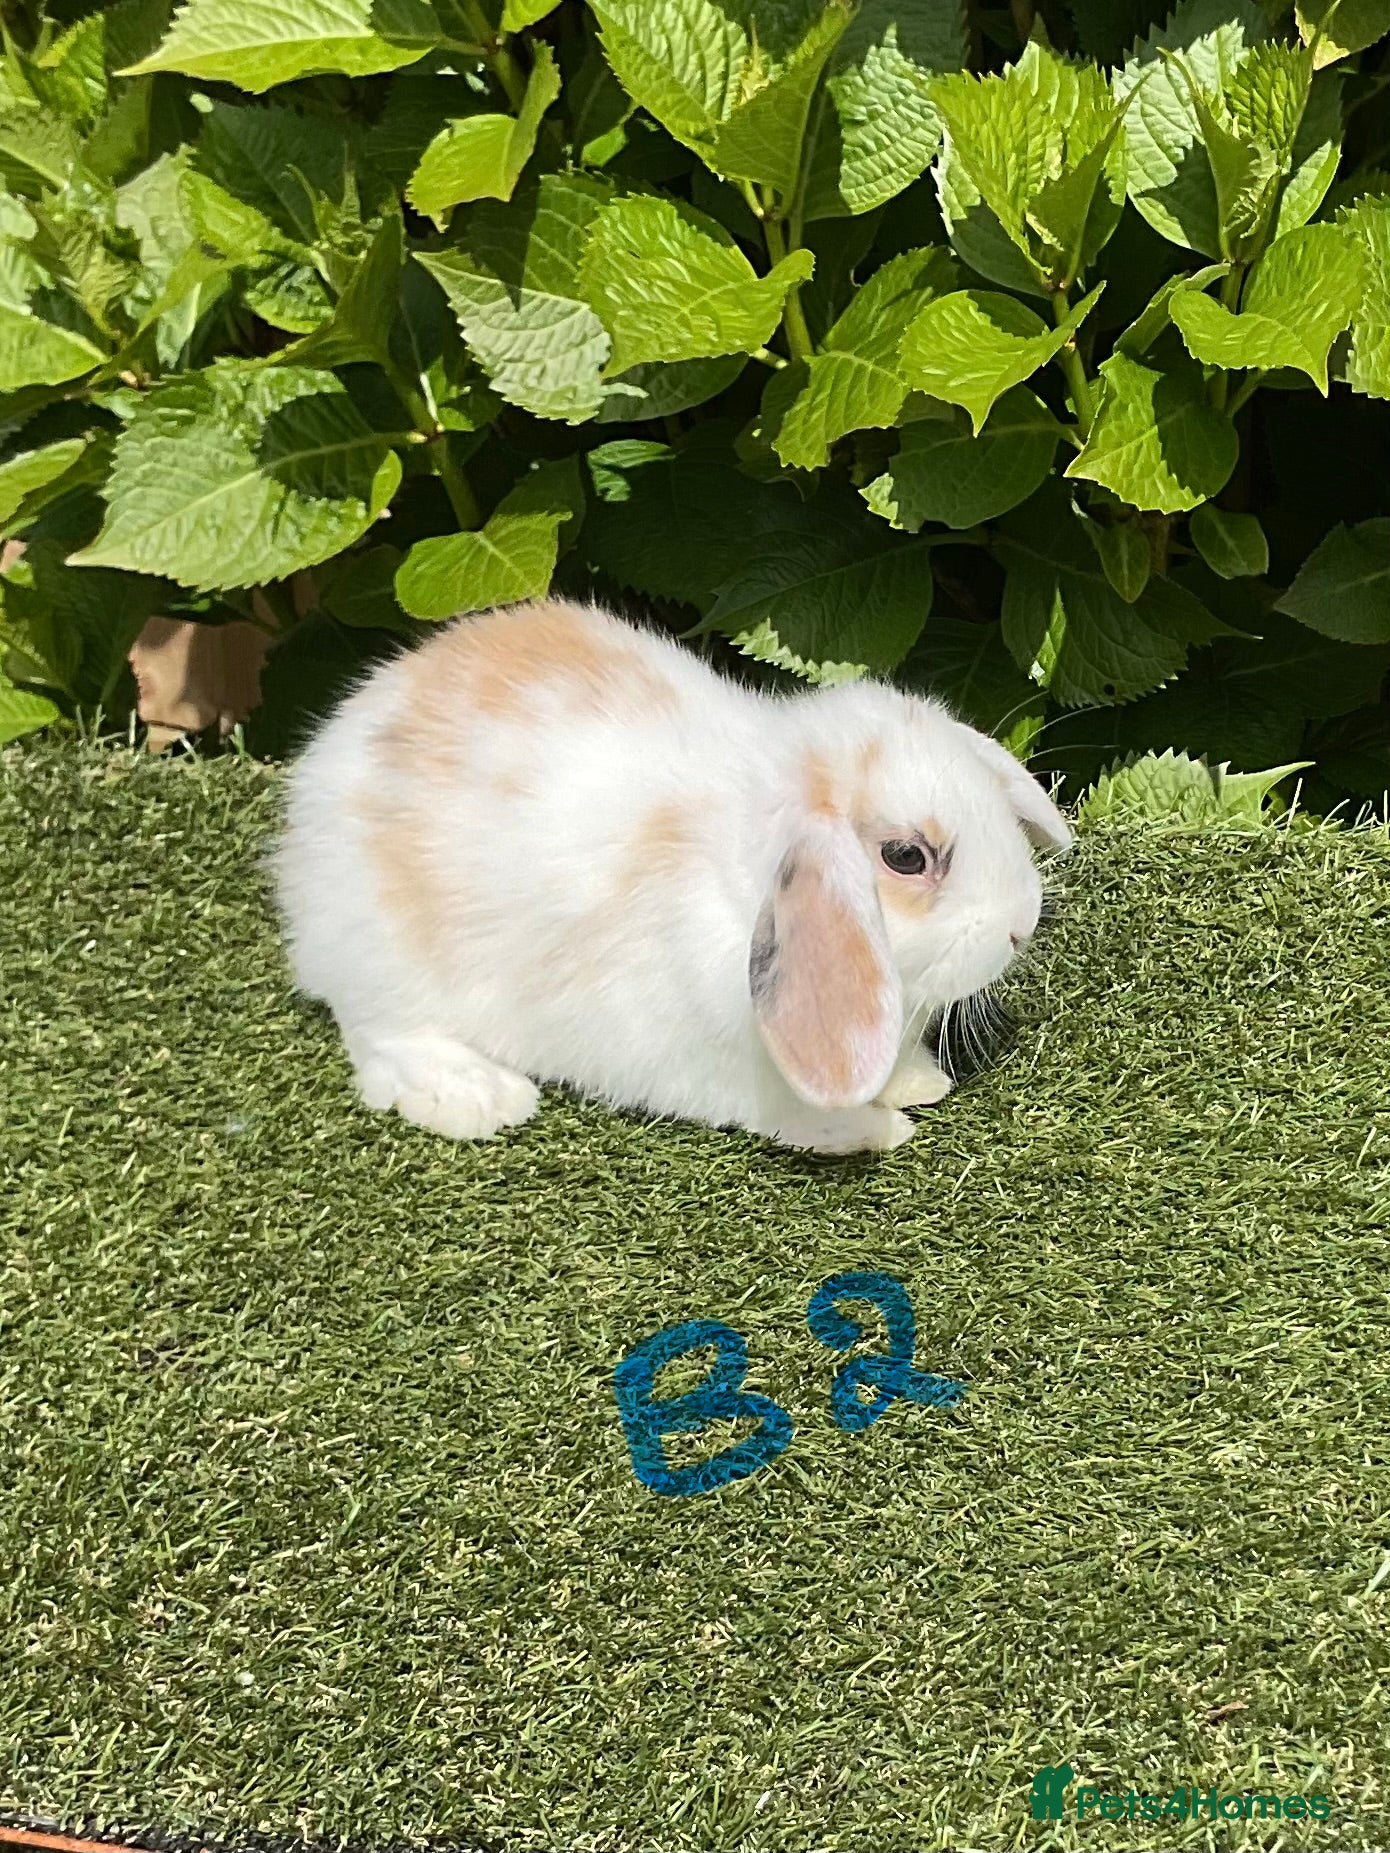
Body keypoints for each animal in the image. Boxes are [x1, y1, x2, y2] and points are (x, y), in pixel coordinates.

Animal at [274, 598, 1070, 1155]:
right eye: (906, 856)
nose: (1021, 922)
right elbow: (797, 1117)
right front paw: (879, 1129)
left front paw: (920, 1081)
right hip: (385, 963)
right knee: (376, 1038)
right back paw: (480, 1098)